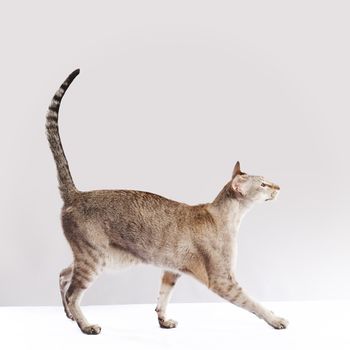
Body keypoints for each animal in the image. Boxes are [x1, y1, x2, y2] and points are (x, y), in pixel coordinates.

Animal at [45, 68, 288, 334]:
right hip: (95, 258)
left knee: (62, 275)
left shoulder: (171, 271)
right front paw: (276, 319)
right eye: (263, 184)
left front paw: (163, 320)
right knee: (72, 293)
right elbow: (252, 302)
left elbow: (163, 297)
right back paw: (86, 326)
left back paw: (69, 316)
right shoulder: (222, 279)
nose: (278, 186)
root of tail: (76, 194)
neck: (229, 217)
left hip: (99, 258)